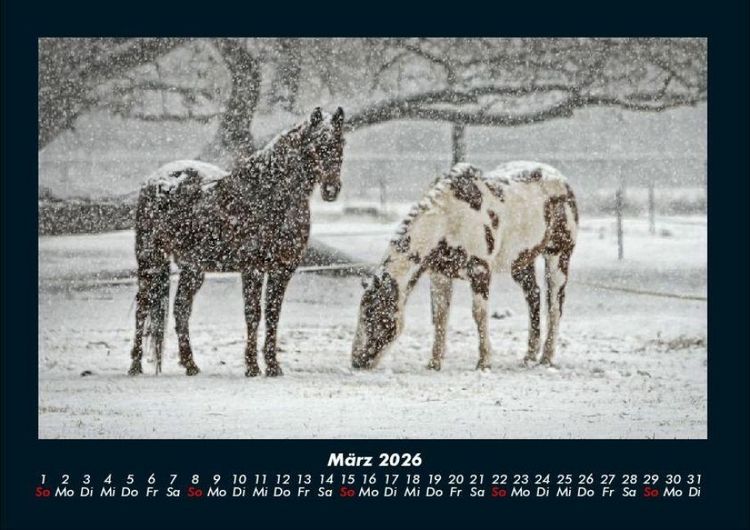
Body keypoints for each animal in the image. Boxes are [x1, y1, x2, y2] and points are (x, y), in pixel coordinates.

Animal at [128, 106, 345, 377]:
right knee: (143, 306)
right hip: (150, 259)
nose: (331, 190)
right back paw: (135, 365)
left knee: (181, 309)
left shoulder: (282, 269)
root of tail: (155, 180)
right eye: (316, 145)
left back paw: (191, 365)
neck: (269, 195)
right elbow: (253, 314)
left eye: (340, 142)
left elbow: (273, 314)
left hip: (193, 268)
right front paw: (252, 366)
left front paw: (273, 366)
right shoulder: (253, 268)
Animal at [351, 161, 578, 371]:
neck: (448, 219)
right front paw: (434, 363)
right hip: (521, 262)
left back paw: (546, 358)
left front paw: (484, 362)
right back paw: (529, 356)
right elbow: (440, 316)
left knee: (555, 304)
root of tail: (563, 181)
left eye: (375, 314)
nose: (357, 361)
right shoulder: (440, 274)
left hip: (558, 256)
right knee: (534, 297)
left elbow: (479, 314)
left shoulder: (480, 271)